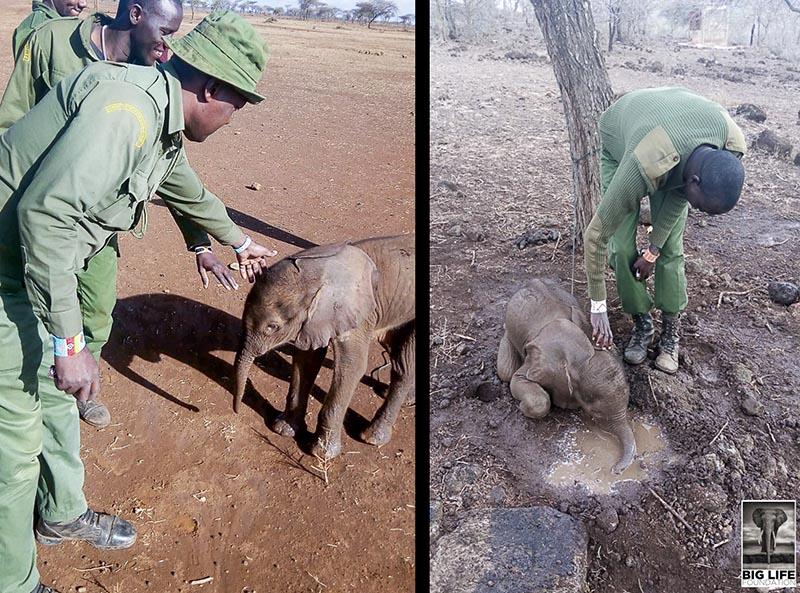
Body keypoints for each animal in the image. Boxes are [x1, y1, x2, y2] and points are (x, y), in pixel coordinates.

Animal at [234, 234, 416, 460]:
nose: (237, 411)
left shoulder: (357, 314)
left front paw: (322, 454)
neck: (319, 271)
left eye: (272, 327)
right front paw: (284, 430)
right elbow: (306, 361)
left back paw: (372, 437)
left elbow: (351, 368)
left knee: (403, 366)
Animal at [496, 280, 636, 474]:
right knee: (506, 372)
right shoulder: (540, 362)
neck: (580, 354)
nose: (615, 470)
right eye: (597, 413)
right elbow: (519, 380)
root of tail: (532, 280)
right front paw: (523, 408)